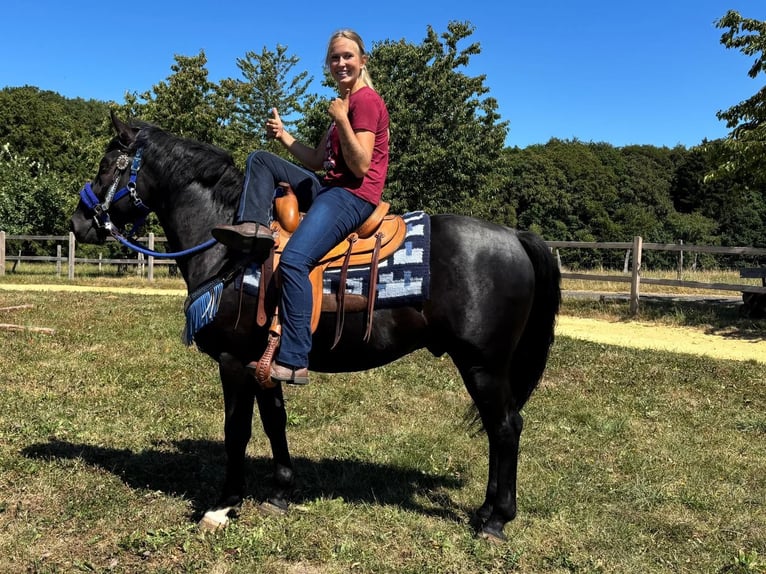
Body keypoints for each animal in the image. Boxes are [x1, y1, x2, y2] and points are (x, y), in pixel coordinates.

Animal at [70, 112, 561, 542]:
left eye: (107, 165)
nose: (77, 223)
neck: (231, 250)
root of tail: (516, 237)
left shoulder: (233, 360)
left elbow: (237, 431)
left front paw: (224, 505)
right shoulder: (264, 361)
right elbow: (275, 422)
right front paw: (281, 492)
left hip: (483, 365)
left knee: (506, 427)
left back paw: (495, 520)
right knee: (501, 427)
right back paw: (486, 510)